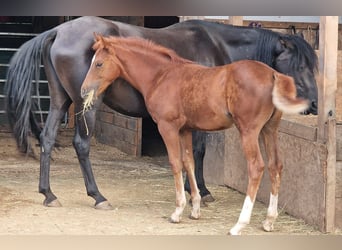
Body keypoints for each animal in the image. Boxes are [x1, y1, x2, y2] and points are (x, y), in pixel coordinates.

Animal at [4, 16, 318, 210]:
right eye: (300, 65)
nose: (314, 104)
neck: (217, 46)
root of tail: (58, 31)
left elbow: (189, 154)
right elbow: (198, 152)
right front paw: (200, 191)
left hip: (60, 101)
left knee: (46, 140)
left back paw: (48, 194)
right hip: (87, 103)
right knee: (81, 145)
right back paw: (97, 196)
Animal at [81, 34, 308, 234]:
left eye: (98, 64)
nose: (83, 91)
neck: (161, 76)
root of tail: (273, 74)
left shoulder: (168, 127)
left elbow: (175, 163)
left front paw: (178, 211)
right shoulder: (185, 130)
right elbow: (188, 162)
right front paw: (195, 209)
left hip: (249, 131)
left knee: (257, 167)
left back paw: (239, 225)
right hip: (269, 130)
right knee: (275, 166)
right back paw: (269, 221)